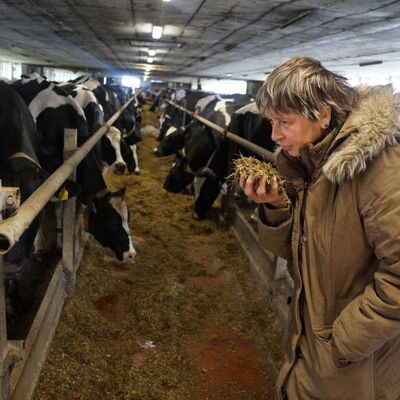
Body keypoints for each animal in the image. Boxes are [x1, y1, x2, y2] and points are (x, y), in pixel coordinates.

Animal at [11, 74, 137, 264]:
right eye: (113, 221)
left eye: (127, 218)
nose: (131, 254)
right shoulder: (42, 180)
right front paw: (40, 247)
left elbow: (64, 211)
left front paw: (62, 242)